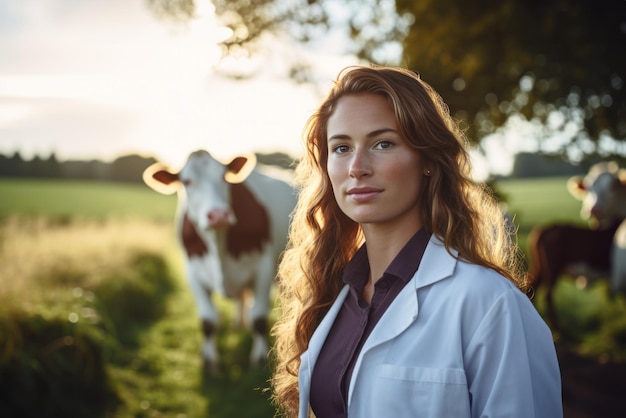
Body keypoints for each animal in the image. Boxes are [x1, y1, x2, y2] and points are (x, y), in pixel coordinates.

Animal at [143, 149, 296, 370]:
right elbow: (208, 321)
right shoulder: (193, 273)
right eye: (186, 181)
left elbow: (258, 318)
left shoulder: (263, 269)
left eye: (224, 177)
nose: (218, 215)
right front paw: (209, 360)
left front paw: (259, 358)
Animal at [528, 162, 624, 328]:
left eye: (612, 186)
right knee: (548, 295)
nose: (592, 210)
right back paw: (557, 327)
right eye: (588, 187)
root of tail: (543, 229)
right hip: (553, 267)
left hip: (539, 267)